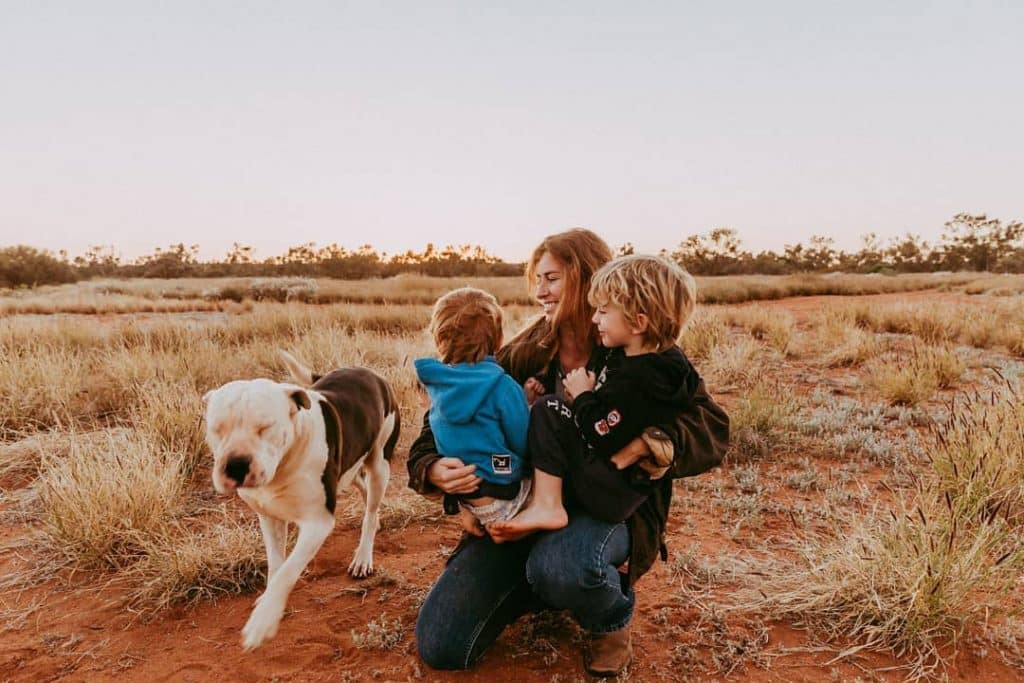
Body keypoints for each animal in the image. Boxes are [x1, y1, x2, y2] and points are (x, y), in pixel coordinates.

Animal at [202, 352, 399, 651]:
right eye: (217, 429)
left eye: (265, 427)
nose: (235, 465)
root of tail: (369, 372)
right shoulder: (269, 517)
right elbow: (276, 564)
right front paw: (268, 603)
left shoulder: (318, 523)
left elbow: (287, 571)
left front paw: (263, 621)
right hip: (349, 463)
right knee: (359, 484)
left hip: (380, 462)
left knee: (372, 507)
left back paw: (363, 555)